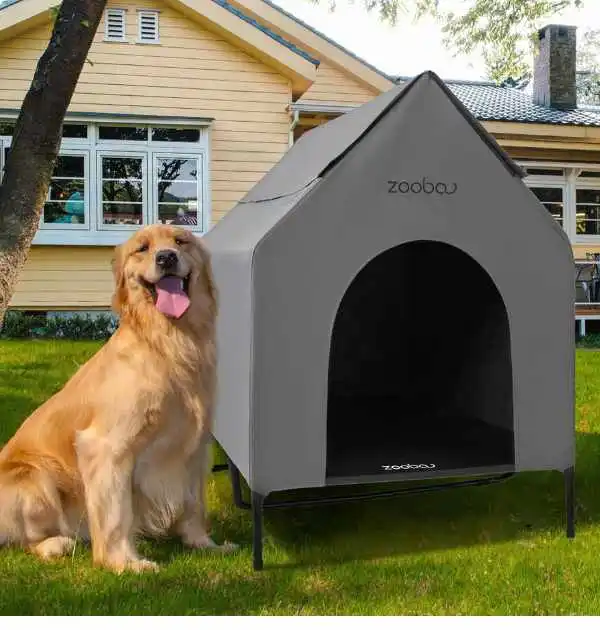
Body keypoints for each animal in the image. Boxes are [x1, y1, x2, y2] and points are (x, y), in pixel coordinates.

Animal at [0, 223, 230, 572]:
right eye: (142, 248)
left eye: (181, 241)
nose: (166, 258)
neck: (167, 343)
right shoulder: (107, 447)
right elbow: (115, 514)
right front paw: (123, 563)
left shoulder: (194, 445)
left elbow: (194, 504)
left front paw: (204, 544)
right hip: (34, 478)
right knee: (24, 540)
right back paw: (56, 543)